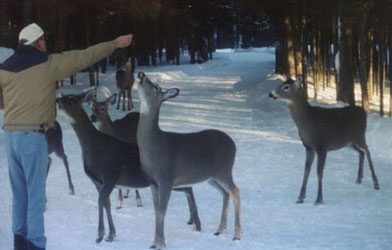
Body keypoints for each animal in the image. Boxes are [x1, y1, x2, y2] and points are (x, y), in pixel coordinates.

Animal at [56, 89, 202, 242]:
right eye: (64, 96)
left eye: (71, 98)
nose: (57, 101)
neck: (91, 145)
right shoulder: (97, 180)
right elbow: (106, 202)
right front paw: (111, 234)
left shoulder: (110, 175)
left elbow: (101, 201)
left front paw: (100, 235)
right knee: (188, 188)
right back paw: (192, 221)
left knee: (189, 189)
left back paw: (197, 224)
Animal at [270, 75, 380, 205]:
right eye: (281, 84)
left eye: (286, 87)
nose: (271, 94)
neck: (308, 122)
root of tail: (363, 112)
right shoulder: (308, 147)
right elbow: (306, 171)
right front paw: (300, 198)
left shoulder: (322, 146)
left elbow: (319, 172)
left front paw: (319, 199)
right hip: (349, 142)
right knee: (361, 152)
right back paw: (359, 179)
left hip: (359, 136)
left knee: (367, 151)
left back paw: (376, 183)